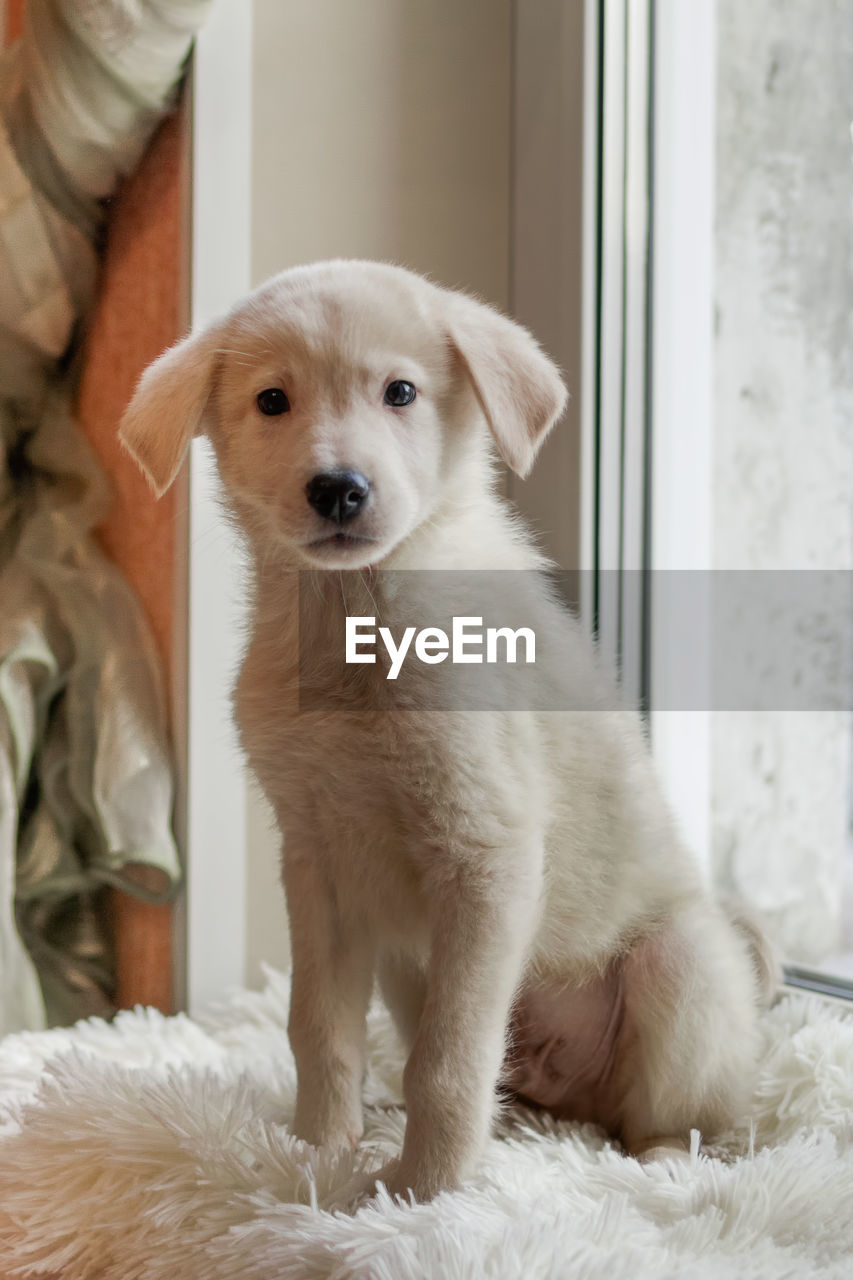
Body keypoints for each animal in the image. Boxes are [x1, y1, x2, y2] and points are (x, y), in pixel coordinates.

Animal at [121, 257, 778, 1198]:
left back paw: (658, 1168)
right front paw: (316, 1154)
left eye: (400, 392)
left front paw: (420, 1194)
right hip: (407, 965)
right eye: (272, 400)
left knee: (672, 1118)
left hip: (676, 963)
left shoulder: (484, 856)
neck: (359, 630)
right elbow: (318, 1029)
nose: (338, 488)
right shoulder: (314, 860)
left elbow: (447, 1060)